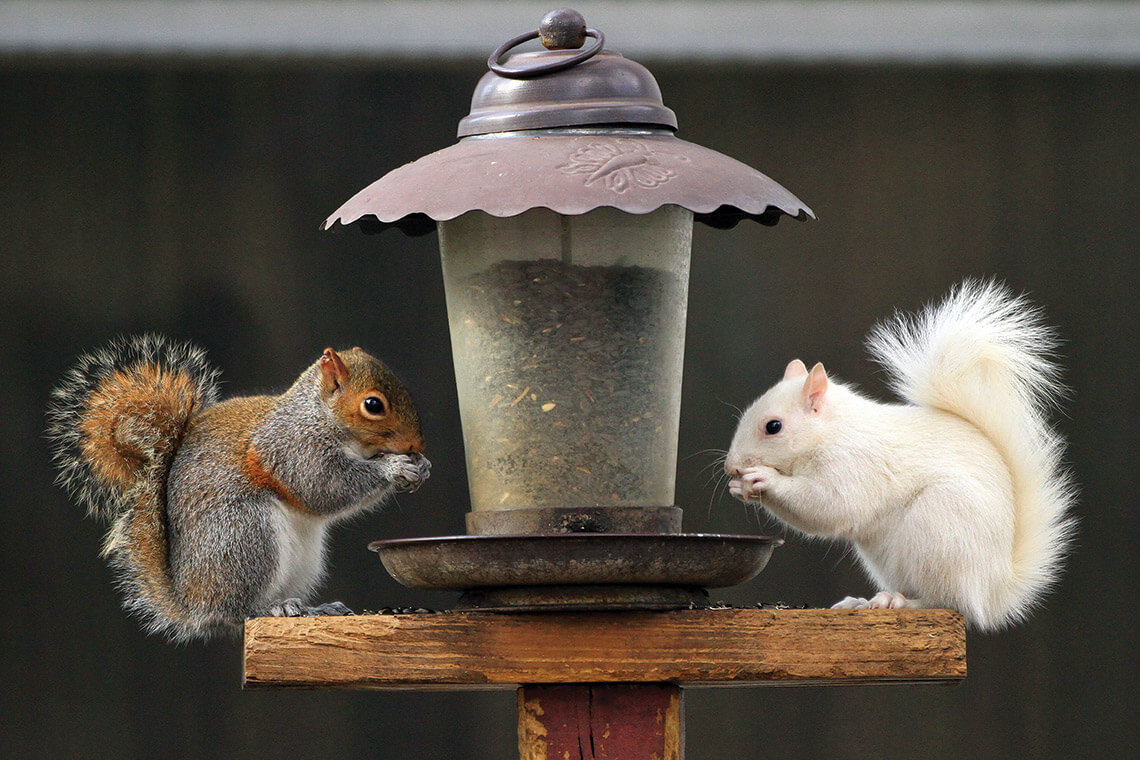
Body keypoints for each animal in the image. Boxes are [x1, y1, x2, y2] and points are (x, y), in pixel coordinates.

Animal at [47, 335, 430, 642]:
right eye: (373, 405)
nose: (416, 444)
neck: (319, 415)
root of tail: (192, 604)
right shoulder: (292, 448)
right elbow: (323, 486)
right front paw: (394, 467)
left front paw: (422, 465)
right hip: (244, 537)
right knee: (238, 610)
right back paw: (273, 608)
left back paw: (313, 608)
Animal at [725, 281, 1076, 631]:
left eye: (773, 427)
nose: (730, 468)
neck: (831, 431)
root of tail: (994, 590)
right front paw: (739, 487)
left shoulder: (854, 464)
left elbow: (829, 506)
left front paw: (763, 479)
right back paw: (864, 601)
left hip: (941, 526)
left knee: (949, 601)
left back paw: (902, 602)